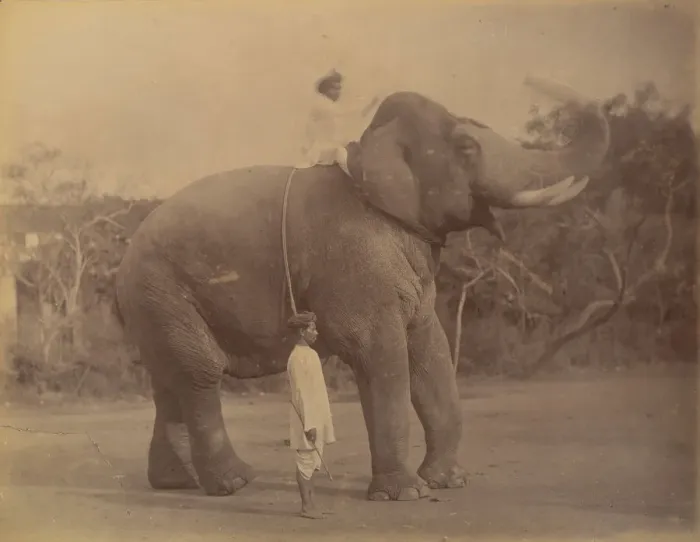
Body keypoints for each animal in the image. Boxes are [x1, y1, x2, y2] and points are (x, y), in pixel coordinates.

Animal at [114, 76, 610, 501]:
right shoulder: (355, 260)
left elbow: (430, 349)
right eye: (466, 147)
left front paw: (449, 482)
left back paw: (175, 483)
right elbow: (380, 353)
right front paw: (405, 494)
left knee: (171, 377)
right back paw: (234, 483)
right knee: (200, 372)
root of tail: (124, 260)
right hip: (163, 288)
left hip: (155, 302)